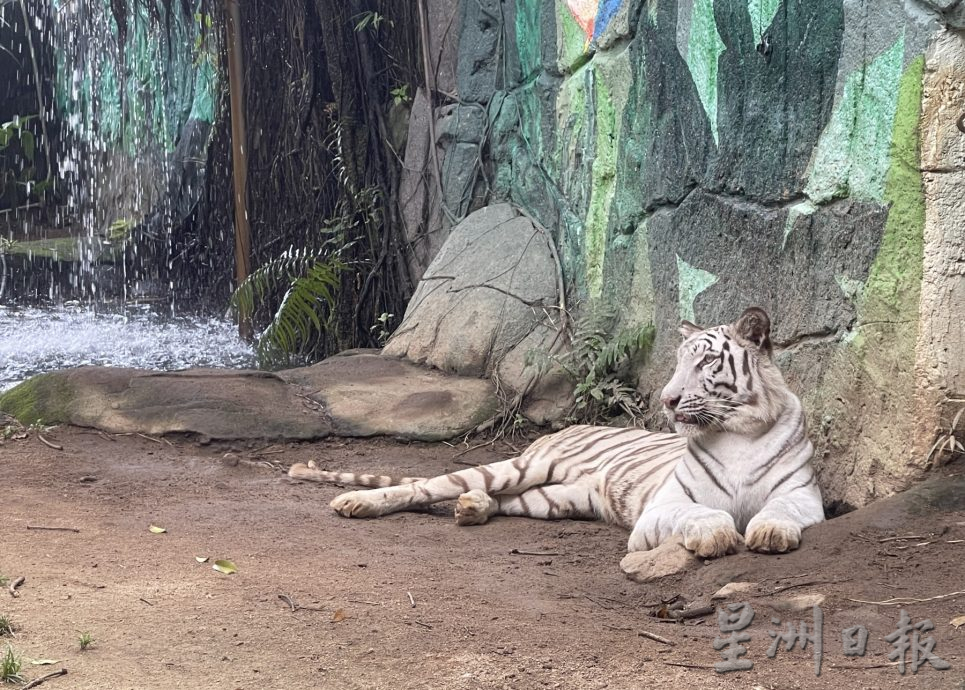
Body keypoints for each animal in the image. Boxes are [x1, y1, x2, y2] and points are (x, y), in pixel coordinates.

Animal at [286, 306, 820, 552]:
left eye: (706, 362)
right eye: (677, 363)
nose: (667, 399)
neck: (738, 432)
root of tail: (556, 433)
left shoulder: (803, 497)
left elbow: (781, 510)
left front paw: (769, 530)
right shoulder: (666, 506)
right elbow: (702, 514)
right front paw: (716, 534)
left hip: (558, 498)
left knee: (500, 501)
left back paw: (471, 509)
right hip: (522, 466)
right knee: (426, 486)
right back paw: (357, 503)